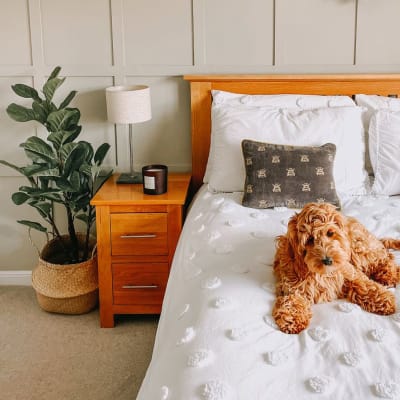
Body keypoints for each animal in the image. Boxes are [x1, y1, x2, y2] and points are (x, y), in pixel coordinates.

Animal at [272, 202, 400, 332]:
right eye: (310, 239)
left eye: (330, 233)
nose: (327, 260)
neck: (322, 273)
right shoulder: (291, 285)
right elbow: (292, 299)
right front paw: (292, 318)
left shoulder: (349, 271)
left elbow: (365, 284)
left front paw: (384, 299)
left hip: (360, 249)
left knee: (385, 259)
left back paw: (389, 275)